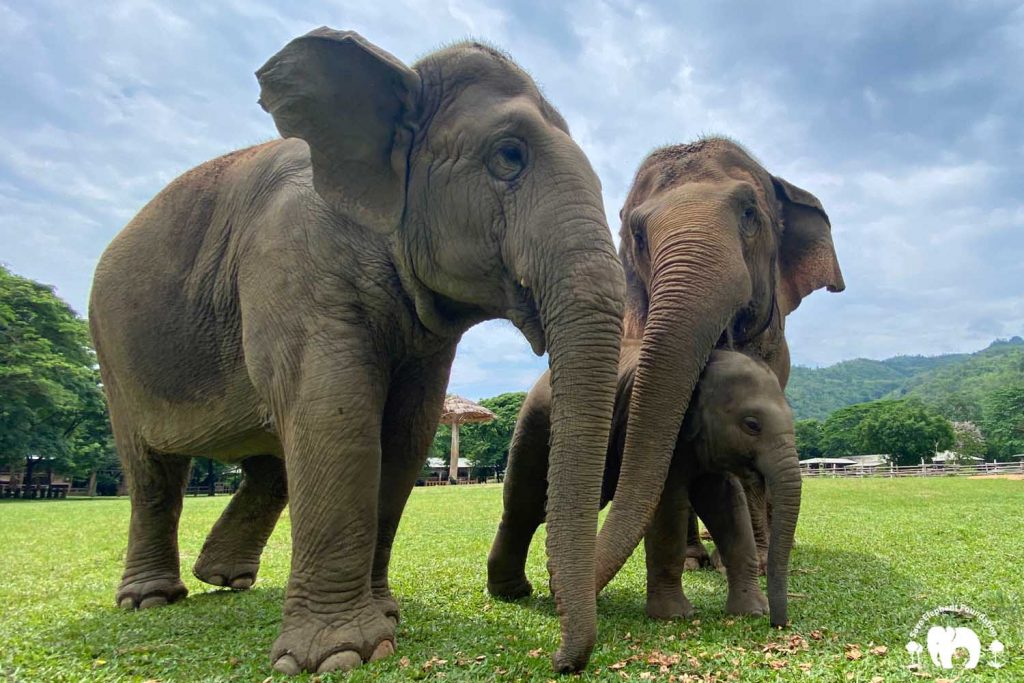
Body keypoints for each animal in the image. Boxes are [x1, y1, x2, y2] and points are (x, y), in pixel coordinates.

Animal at [90, 28, 622, 679]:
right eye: (509, 156)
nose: (560, 660)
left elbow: (404, 435)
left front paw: (386, 618)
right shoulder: (293, 263)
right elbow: (335, 418)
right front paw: (340, 655)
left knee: (270, 464)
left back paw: (226, 578)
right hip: (114, 348)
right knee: (152, 469)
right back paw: (150, 599)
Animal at [487, 344, 798, 626]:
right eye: (752, 424)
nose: (778, 623)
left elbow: (728, 508)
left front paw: (753, 612)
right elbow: (668, 511)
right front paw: (676, 616)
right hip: (535, 425)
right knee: (524, 508)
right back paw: (513, 592)